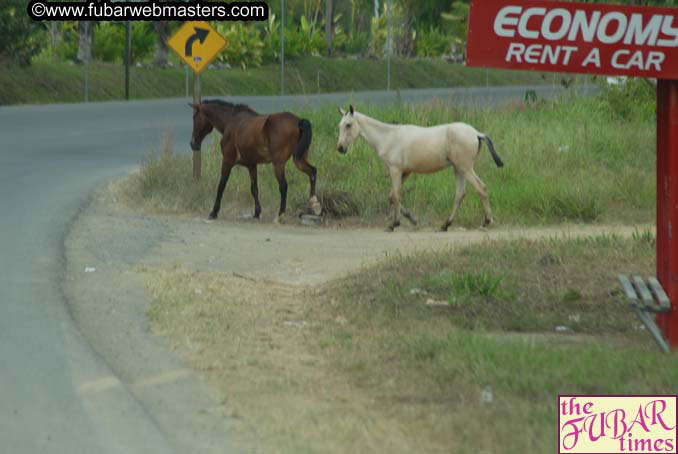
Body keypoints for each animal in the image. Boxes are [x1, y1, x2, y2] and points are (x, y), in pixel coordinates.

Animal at [189, 99, 322, 220]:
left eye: (194, 117)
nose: (192, 144)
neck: (231, 121)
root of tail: (298, 121)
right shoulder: (251, 165)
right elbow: (254, 189)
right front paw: (257, 213)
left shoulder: (227, 161)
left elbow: (221, 186)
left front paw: (214, 212)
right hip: (299, 160)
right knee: (312, 172)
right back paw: (314, 204)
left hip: (278, 163)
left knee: (283, 186)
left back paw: (281, 214)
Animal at [338, 105, 504, 232]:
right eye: (340, 126)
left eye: (348, 125)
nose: (340, 148)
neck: (388, 137)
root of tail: (477, 133)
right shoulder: (405, 172)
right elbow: (392, 196)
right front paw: (412, 219)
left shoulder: (395, 170)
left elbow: (396, 195)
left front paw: (393, 224)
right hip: (459, 169)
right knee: (460, 194)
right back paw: (445, 225)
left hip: (465, 168)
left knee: (481, 188)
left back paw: (486, 221)